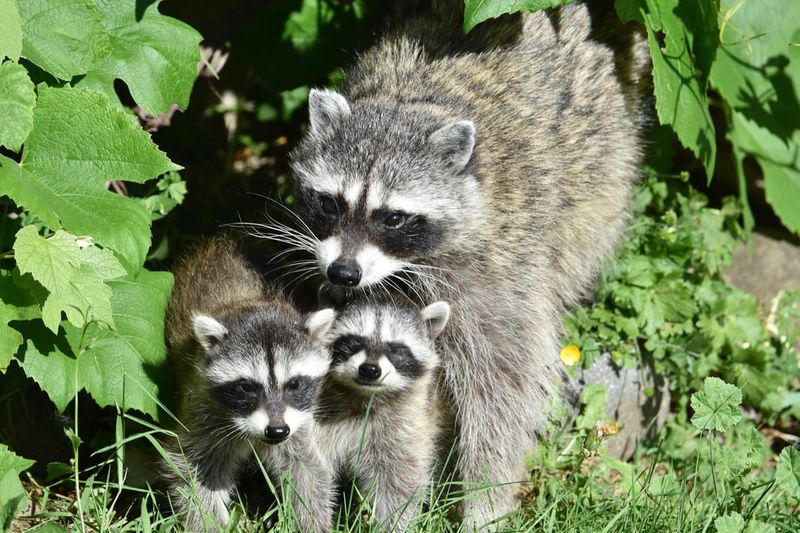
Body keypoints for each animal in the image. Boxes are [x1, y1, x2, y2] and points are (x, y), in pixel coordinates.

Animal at [164, 237, 337, 531]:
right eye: (247, 387)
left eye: (294, 384)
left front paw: (311, 522)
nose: (277, 431)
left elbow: (307, 470)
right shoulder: (204, 406)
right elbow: (195, 470)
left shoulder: (299, 422)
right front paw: (209, 524)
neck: (251, 303)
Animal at [316, 297, 450, 531]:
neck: (363, 397)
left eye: (396, 349)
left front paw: (393, 525)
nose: (370, 369)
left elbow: (398, 484)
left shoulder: (408, 426)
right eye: (353, 343)